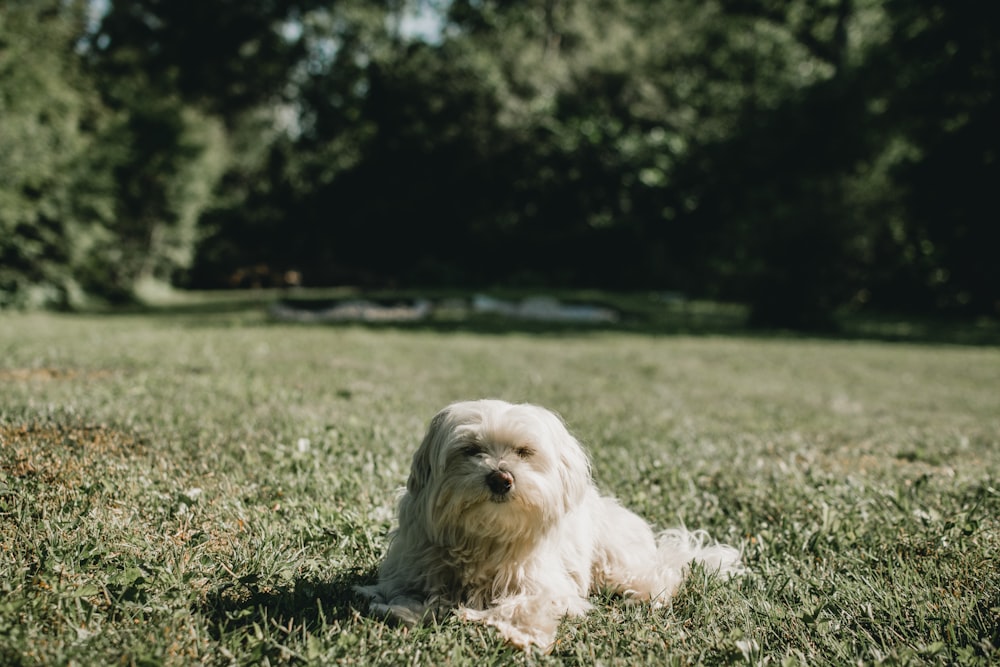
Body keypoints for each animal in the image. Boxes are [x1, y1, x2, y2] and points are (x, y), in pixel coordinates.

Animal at [360, 400, 744, 648]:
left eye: (524, 452)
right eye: (471, 450)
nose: (500, 479)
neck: (487, 536)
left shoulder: (548, 586)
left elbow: (526, 604)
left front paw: (510, 629)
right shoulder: (413, 568)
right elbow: (409, 595)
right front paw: (405, 610)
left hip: (619, 565)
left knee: (661, 576)